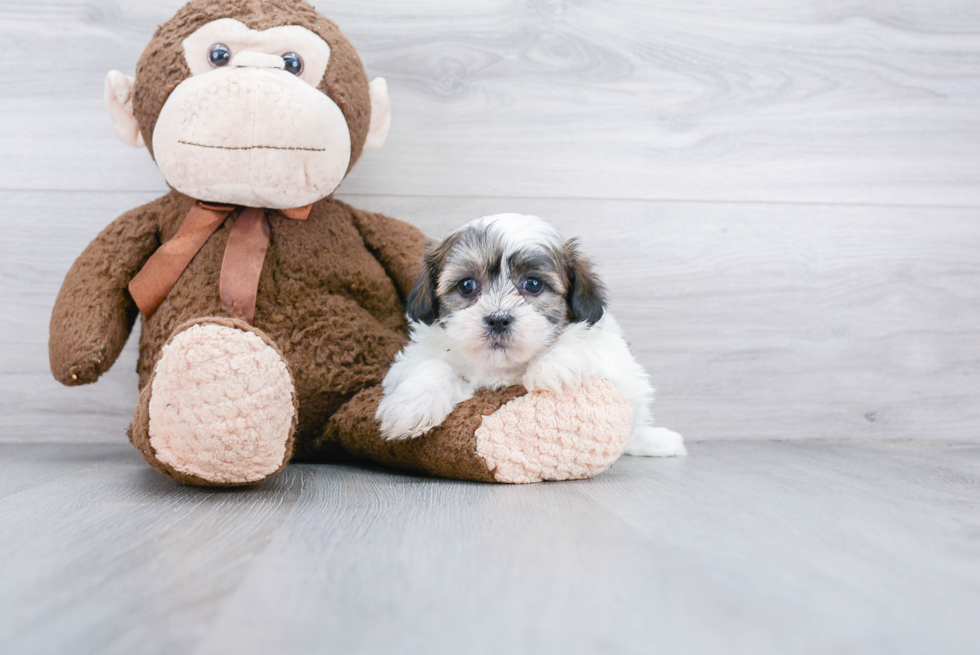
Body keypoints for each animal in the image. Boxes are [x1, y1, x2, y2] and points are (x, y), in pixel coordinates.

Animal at [372, 214, 684, 456]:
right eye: (467, 285)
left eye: (533, 284)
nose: (498, 319)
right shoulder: (413, 358)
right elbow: (433, 366)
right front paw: (412, 406)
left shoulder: (616, 358)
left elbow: (584, 345)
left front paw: (554, 366)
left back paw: (660, 440)